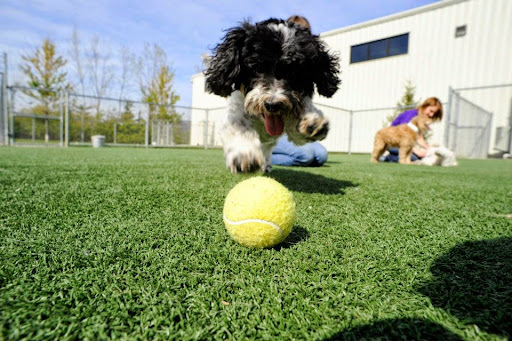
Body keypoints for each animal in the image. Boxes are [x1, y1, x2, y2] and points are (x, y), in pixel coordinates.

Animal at [204, 18, 340, 173]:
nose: (273, 104)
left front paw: (313, 122)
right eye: (257, 67)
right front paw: (245, 155)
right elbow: (239, 127)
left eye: (295, 72)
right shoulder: (236, 112)